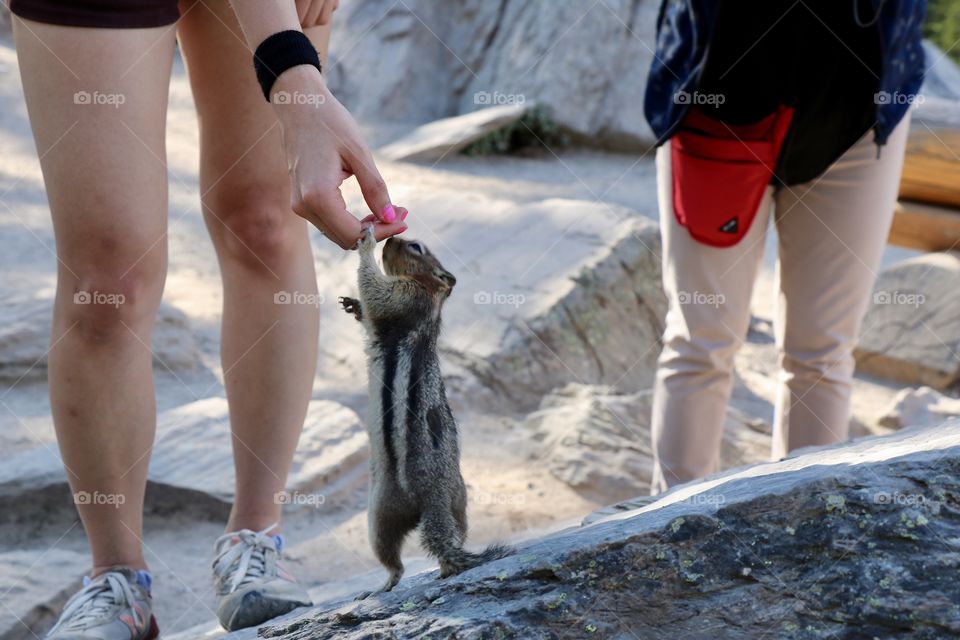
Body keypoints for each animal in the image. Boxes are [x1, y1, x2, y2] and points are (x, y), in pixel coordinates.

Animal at [342, 226, 512, 596]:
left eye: (416, 247)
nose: (392, 238)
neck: (432, 297)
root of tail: (431, 500)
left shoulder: (403, 295)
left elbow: (374, 290)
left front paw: (367, 242)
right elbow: (370, 310)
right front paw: (352, 305)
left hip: (384, 514)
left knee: (397, 563)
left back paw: (382, 586)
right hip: (427, 510)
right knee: (438, 546)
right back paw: (438, 571)